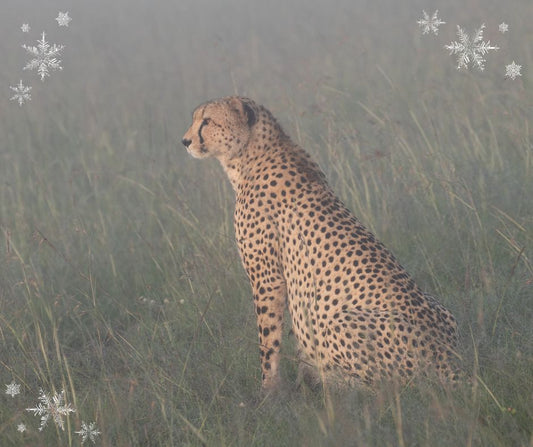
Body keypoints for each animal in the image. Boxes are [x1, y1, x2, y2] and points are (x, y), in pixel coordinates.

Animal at [182, 96, 458, 394]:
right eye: (197, 119)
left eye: (207, 121)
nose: (185, 141)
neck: (251, 155)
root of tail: (449, 360)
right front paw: (297, 378)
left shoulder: (267, 279)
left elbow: (268, 340)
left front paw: (268, 390)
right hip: (445, 311)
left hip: (340, 323)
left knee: (387, 389)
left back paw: (334, 382)